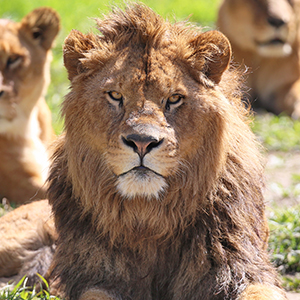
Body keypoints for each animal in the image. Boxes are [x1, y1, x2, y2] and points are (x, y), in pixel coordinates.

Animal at [45, 4, 288, 300]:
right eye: (115, 95)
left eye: (174, 99)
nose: (141, 142)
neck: (150, 217)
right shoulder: (97, 275)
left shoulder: (239, 267)